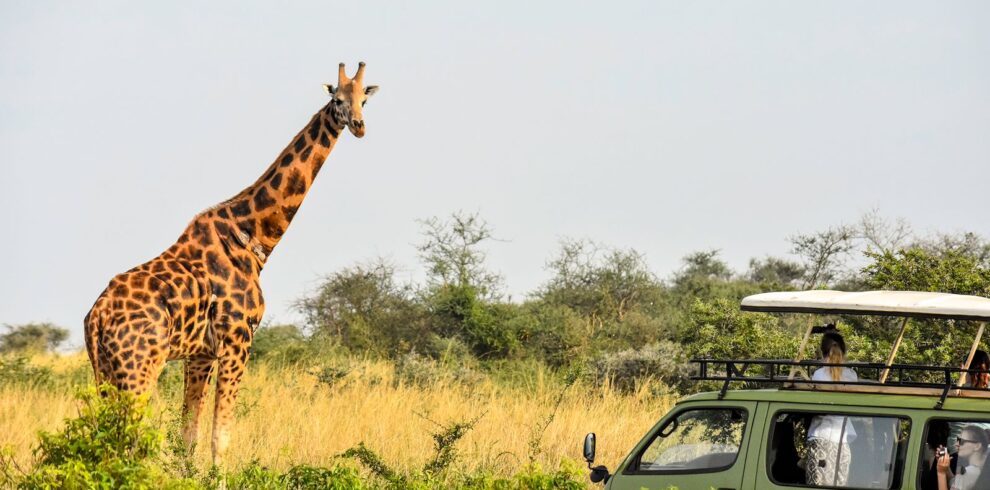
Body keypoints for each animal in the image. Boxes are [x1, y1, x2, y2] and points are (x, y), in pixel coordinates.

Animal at [83, 62, 378, 465]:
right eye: (337, 100)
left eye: (364, 99)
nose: (359, 125)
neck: (253, 235)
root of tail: (97, 316)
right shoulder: (238, 337)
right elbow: (220, 436)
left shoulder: (200, 353)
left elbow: (188, 435)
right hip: (139, 366)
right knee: (127, 439)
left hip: (104, 369)